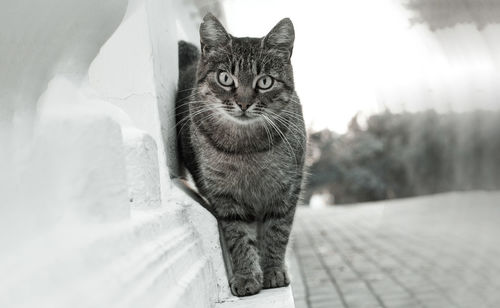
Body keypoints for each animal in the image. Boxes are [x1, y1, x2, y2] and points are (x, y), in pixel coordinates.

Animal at [176, 13, 306, 298]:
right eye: (225, 78)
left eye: (265, 81)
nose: (244, 103)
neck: (246, 149)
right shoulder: (225, 198)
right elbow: (238, 238)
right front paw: (247, 276)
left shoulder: (285, 192)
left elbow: (277, 234)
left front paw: (273, 271)